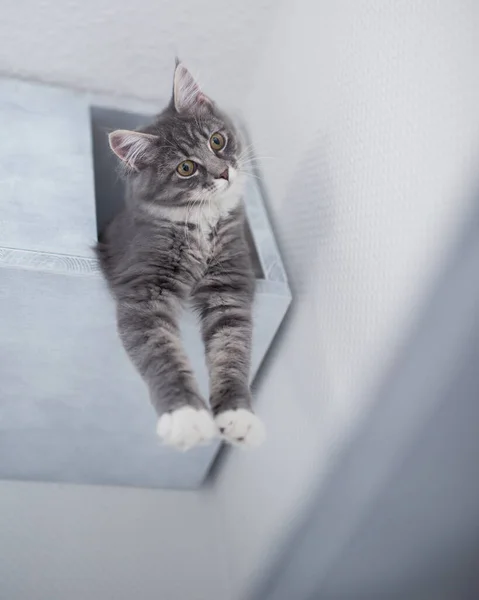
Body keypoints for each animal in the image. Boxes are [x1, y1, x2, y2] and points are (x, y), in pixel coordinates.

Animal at [94, 64, 266, 450]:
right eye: (186, 168)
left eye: (216, 141)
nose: (223, 172)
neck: (202, 223)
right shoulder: (145, 293)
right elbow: (163, 357)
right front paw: (186, 418)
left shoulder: (229, 289)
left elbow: (232, 354)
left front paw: (237, 416)